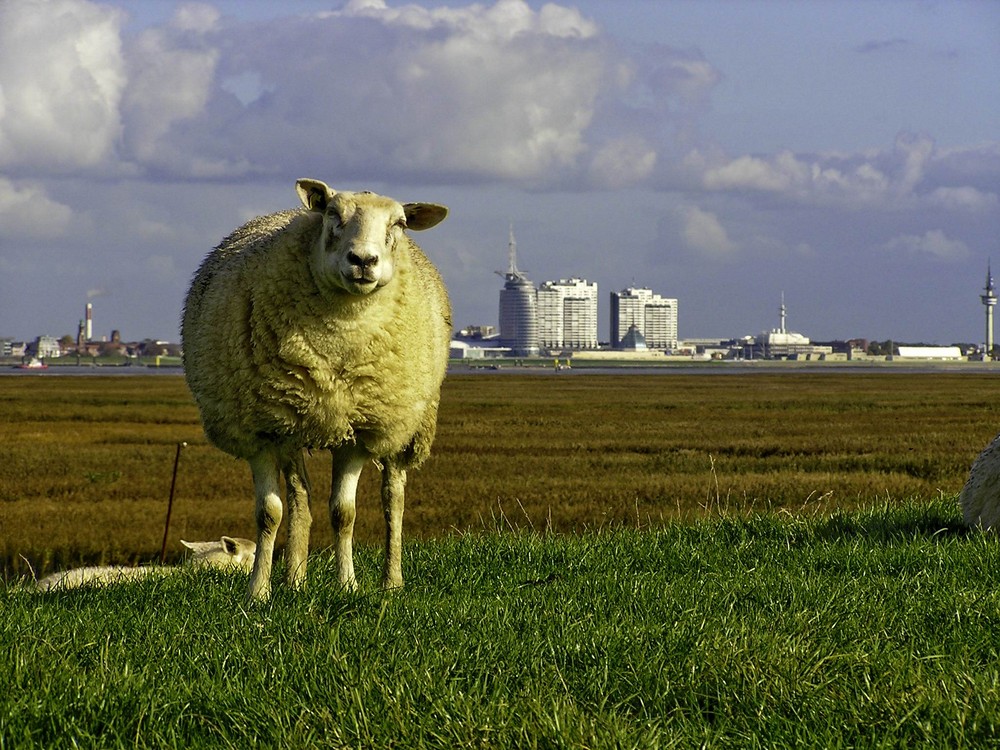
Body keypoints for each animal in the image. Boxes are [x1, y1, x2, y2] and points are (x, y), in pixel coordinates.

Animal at [184, 179, 454, 604]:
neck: (339, 335)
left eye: (399, 223)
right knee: (300, 498)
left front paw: (348, 586)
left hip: (403, 426)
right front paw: (258, 592)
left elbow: (344, 513)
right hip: (294, 426)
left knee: (393, 496)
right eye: (331, 213)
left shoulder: (359, 431)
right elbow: (269, 514)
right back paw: (296, 578)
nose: (363, 260)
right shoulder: (261, 430)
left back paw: (391, 581)